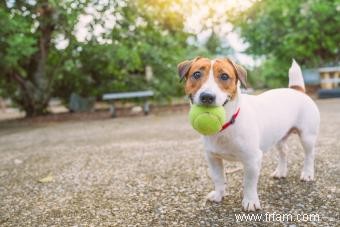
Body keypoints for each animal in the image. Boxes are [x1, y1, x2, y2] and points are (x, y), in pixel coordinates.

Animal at [177, 56, 320, 211]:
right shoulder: (213, 158)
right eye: (196, 74)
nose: (207, 97)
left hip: (307, 136)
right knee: (284, 152)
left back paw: (307, 174)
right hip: (279, 137)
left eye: (224, 76)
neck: (227, 124)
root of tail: (297, 90)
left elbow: (249, 183)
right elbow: (218, 178)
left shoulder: (252, 159)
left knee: (309, 155)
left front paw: (250, 201)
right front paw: (218, 195)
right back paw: (280, 172)